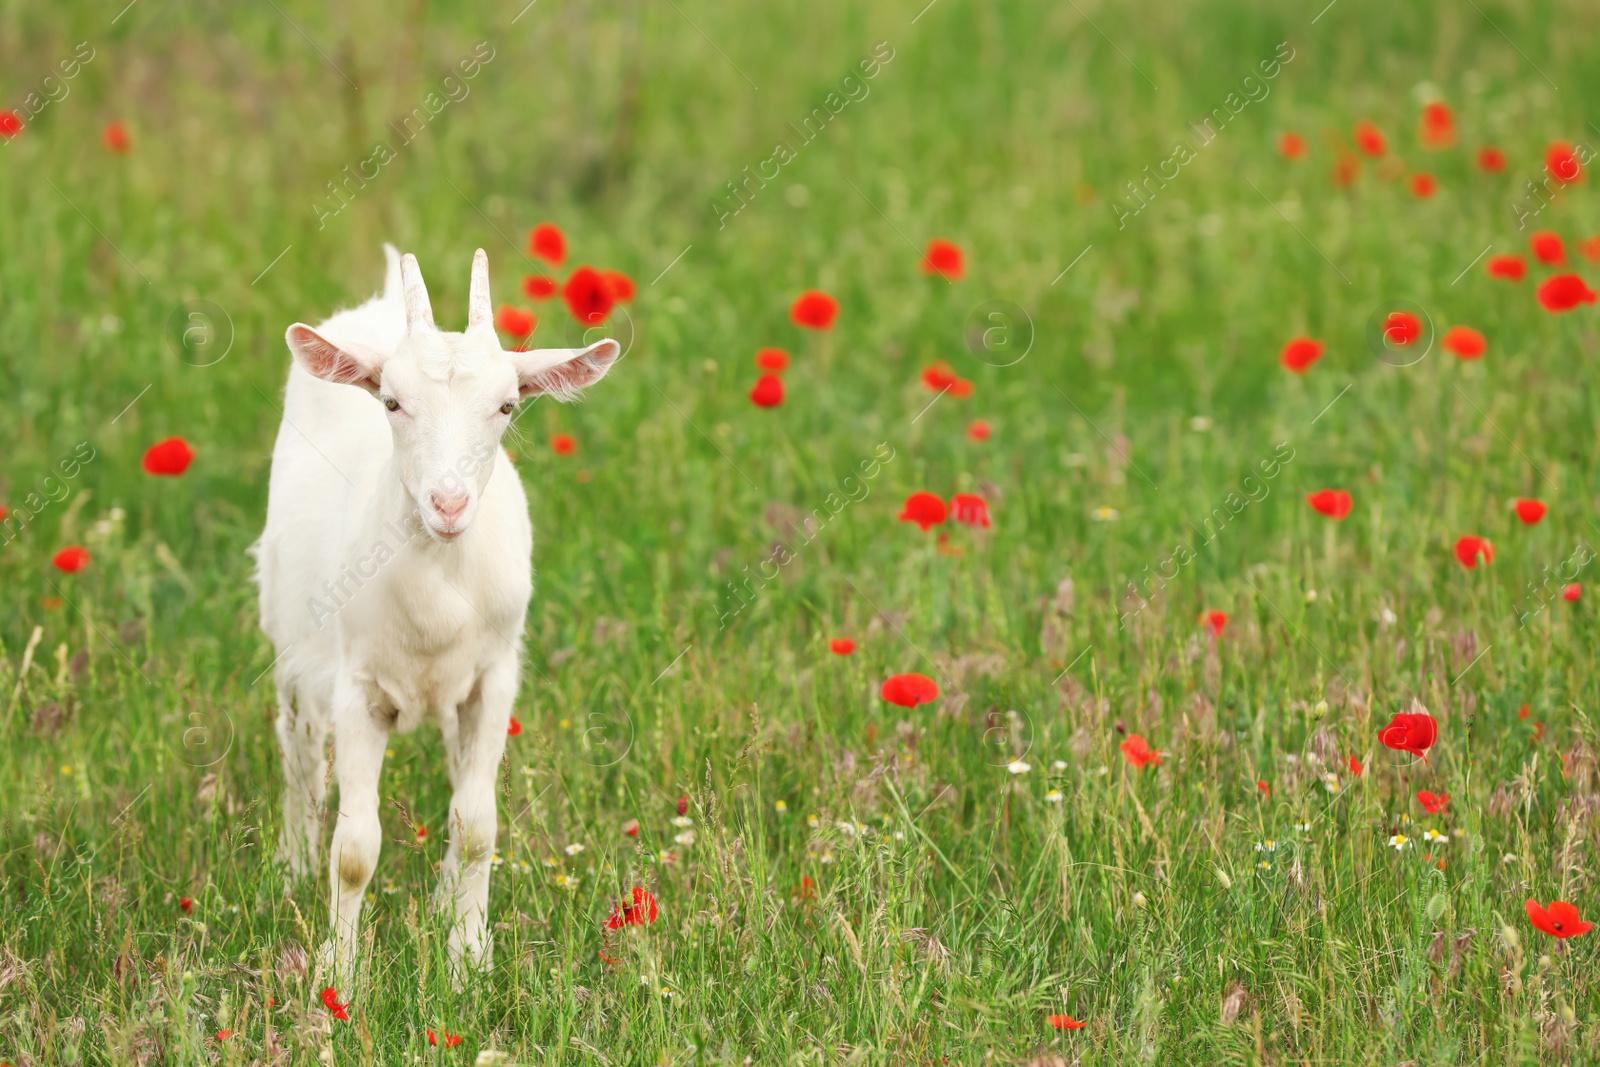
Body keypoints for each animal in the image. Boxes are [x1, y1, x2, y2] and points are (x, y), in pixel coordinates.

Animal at [254, 246, 617, 979]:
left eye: (507, 405)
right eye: (392, 402)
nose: (448, 504)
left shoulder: (492, 680)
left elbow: (476, 825)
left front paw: (468, 955)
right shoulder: (357, 688)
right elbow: (355, 848)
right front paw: (338, 977)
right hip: (290, 639)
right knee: (299, 751)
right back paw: (291, 866)